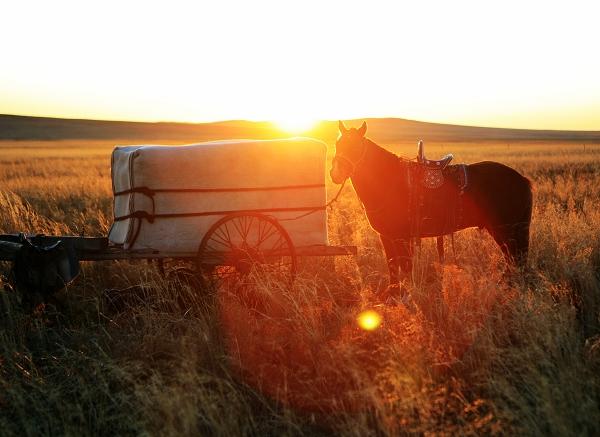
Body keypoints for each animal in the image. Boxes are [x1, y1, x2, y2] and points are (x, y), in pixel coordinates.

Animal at [330, 120, 532, 290]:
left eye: (356, 147)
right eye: (337, 145)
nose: (335, 173)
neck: (391, 181)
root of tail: (521, 179)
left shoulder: (401, 237)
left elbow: (403, 267)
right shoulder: (386, 236)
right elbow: (393, 267)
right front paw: (393, 295)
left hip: (504, 230)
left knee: (514, 259)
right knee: (514, 260)